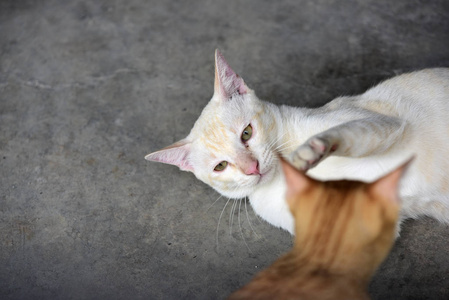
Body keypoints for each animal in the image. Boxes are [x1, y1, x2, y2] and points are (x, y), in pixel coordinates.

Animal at [146, 49, 448, 234]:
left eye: (246, 133)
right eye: (220, 166)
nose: (252, 168)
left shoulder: (384, 124)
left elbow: (344, 134)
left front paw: (307, 153)